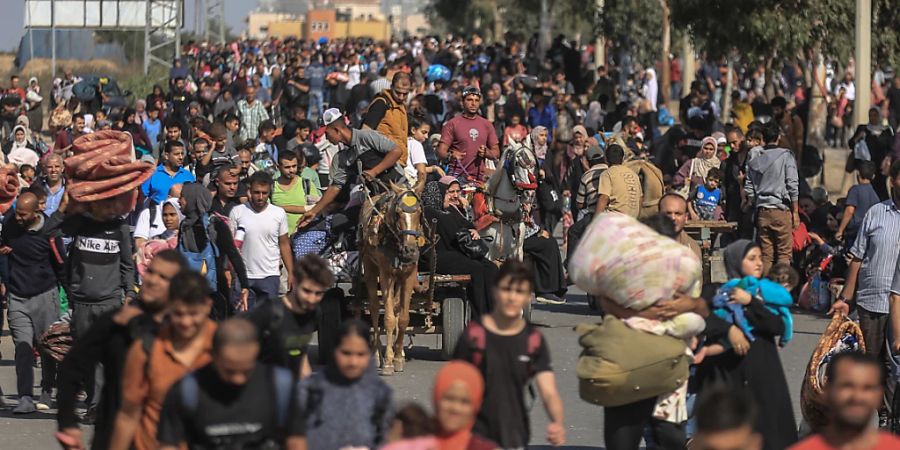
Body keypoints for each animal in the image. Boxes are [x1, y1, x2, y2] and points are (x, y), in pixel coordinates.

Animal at [358, 181, 422, 374]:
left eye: (419, 212)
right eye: (398, 213)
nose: (410, 251)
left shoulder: (409, 275)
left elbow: (403, 318)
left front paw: (398, 358)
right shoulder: (386, 274)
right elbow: (388, 319)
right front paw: (387, 361)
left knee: (395, 306)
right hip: (370, 266)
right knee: (373, 308)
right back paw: (378, 355)